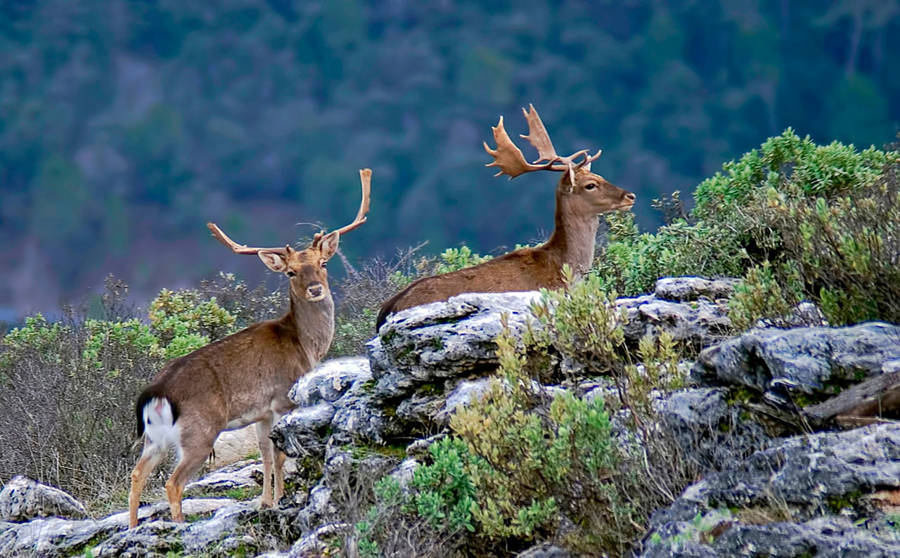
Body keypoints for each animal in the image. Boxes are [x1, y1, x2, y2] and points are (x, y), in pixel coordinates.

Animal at [128, 168, 370, 528]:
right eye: (291, 271)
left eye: (323, 264)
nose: (315, 289)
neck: (306, 346)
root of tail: (157, 392)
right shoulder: (283, 398)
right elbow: (281, 456)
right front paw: (281, 500)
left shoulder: (262, 412)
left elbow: (266, 455)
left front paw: (266, 502)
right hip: (199, 432)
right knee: (173, 482)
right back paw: (180, 525)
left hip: (154, 437)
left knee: (136, 474)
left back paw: (132, 528)